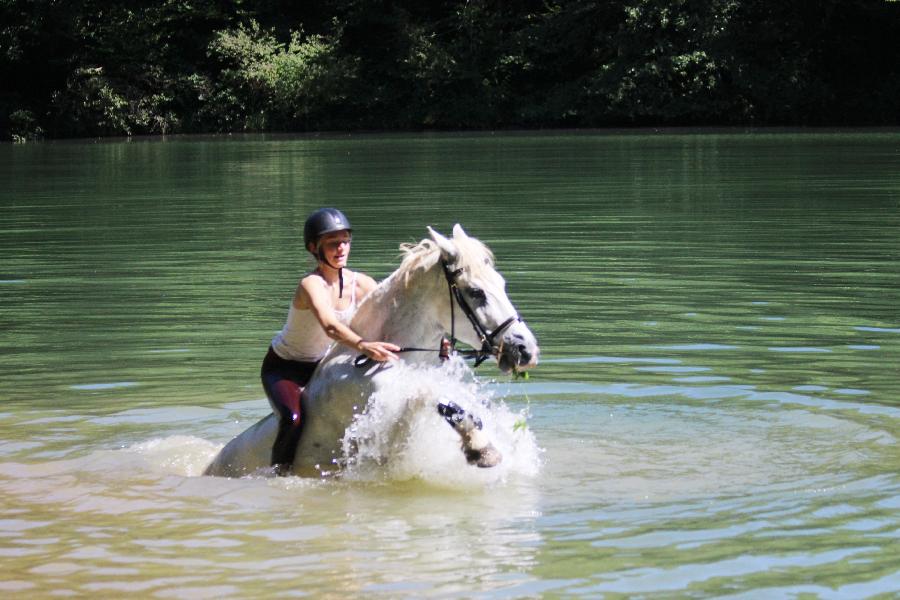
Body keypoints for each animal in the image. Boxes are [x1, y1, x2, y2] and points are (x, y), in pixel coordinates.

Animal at [206, 225, 536, 478]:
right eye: (476, 292)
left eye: (502, 284)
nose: (526, 350)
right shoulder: (382, 406)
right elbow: (433, 396)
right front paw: (483, 449)